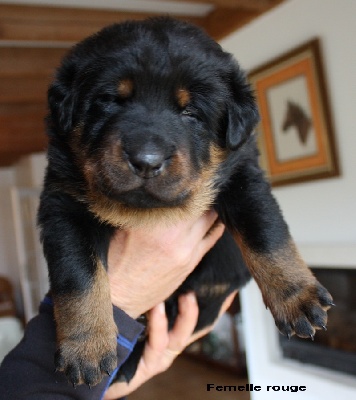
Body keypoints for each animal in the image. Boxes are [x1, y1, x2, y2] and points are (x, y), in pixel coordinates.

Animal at [39, 17, 334, 386]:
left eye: (191, 112)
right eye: (109, 101)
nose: (146, 160)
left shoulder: (241, 177)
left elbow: (266, 233)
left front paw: (297, 297)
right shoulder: (63, 202)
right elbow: (78, 275)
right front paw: (87, 347)